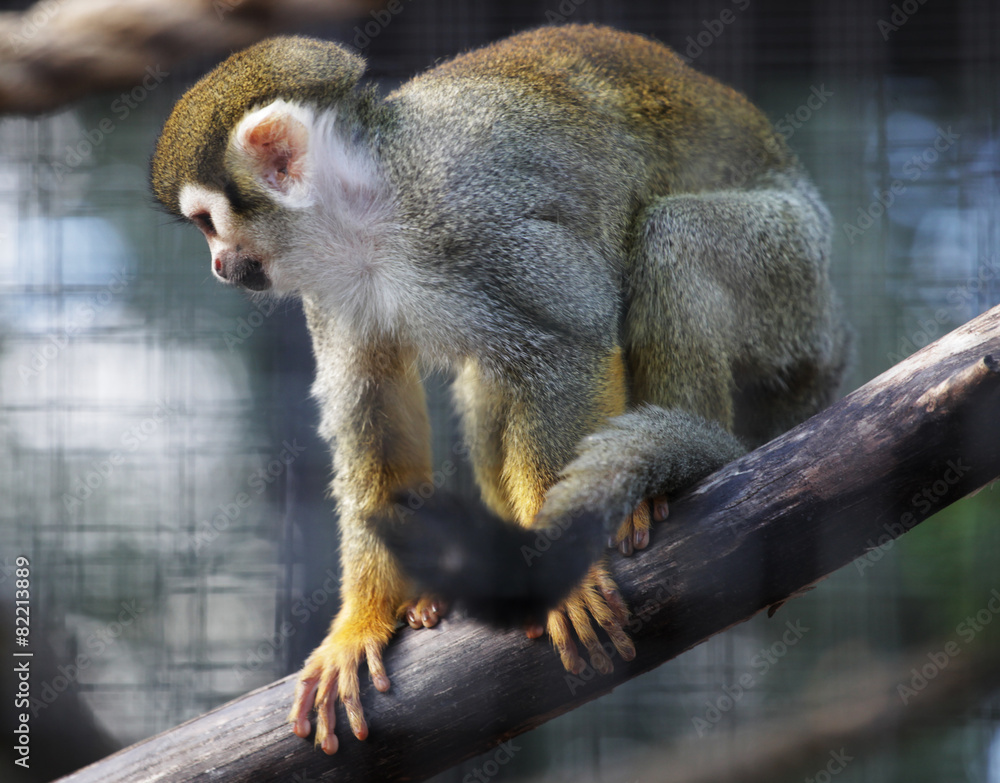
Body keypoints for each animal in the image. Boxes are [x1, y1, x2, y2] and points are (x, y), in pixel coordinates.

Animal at [150, 25, 849, 755]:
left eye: (207, 223)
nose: (219, 266)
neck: (371, 212)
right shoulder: (330, 283)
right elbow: (372, 411)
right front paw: (362, 619)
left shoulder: (476, 213)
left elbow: (569, 334)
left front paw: (560, 571)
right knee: (483, 381)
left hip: (791, 279)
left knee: (672, 238)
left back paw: (672, 475)